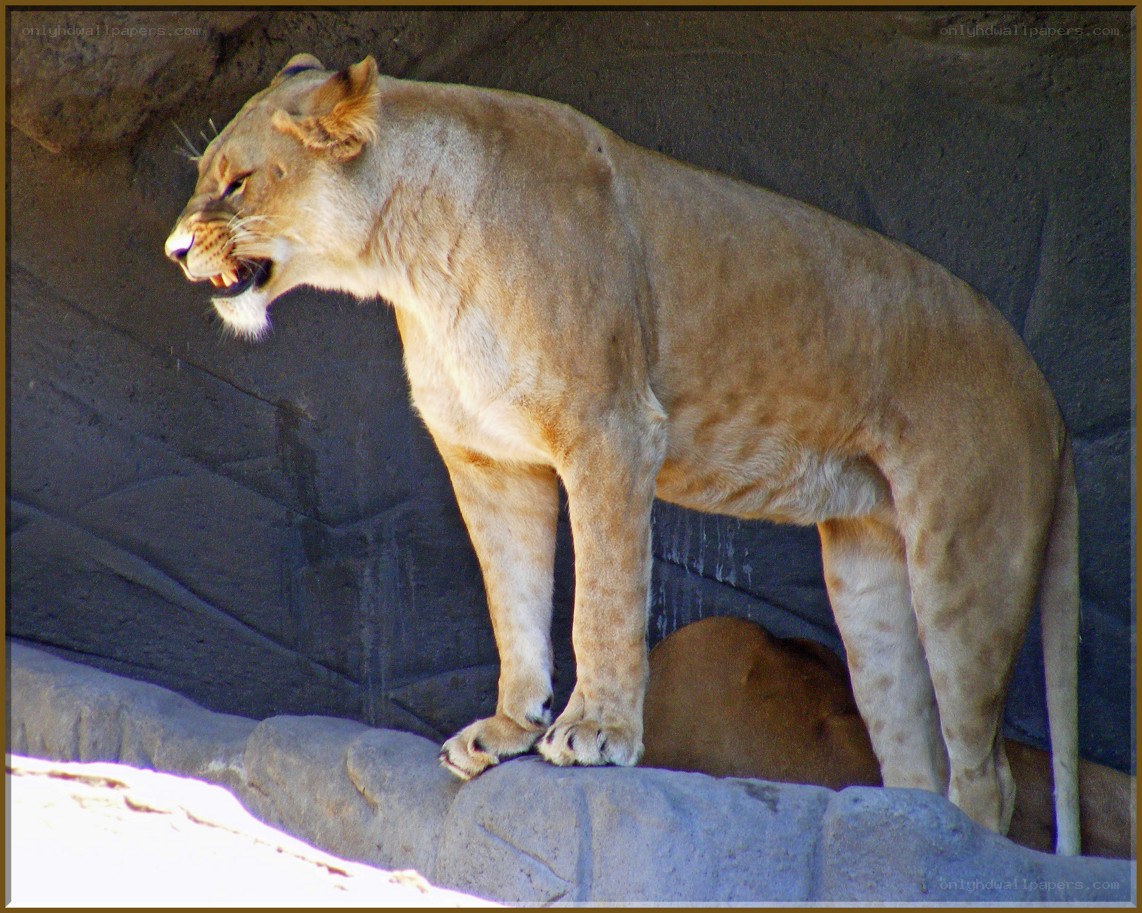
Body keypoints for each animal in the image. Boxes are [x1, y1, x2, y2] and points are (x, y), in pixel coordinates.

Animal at [165, 54, 1081, 853]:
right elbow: (513, 598)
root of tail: (1046, 390)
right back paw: (906, 834)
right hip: (868, 576)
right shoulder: (489, 459)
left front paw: (594, 730)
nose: (174, 250)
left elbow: (604, 596)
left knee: (988, 772)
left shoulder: (611, 429)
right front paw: (508, 728)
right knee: (915, 759)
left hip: (965, 560)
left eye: (237, 181)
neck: (412, 255)